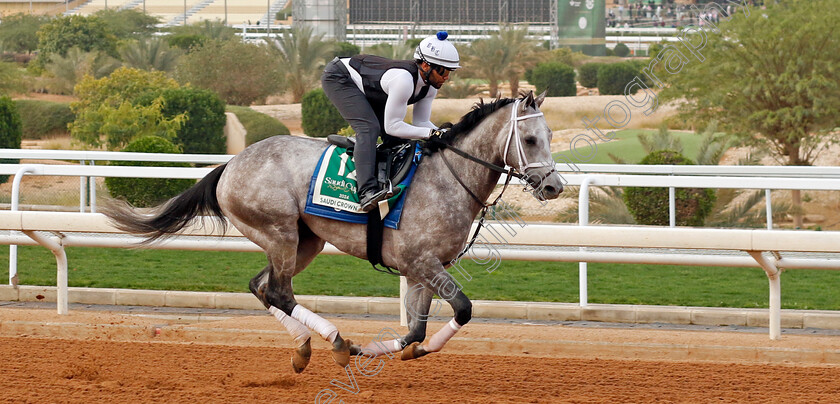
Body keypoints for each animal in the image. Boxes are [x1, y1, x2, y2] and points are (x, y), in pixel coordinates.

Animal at [103, 90, 564, 372]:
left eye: (549, 135)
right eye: (529, 138)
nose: (554, 186)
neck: (448, 178)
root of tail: (230, 164)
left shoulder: (423, 269)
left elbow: (415, 330)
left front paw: (400, 350)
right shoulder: (422, 261)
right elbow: (464, 309)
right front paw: (374, 349)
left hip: (306, 241)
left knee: (260, 286)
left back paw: (305, 348)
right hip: (281, 233)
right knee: (278, 292)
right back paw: (336, 343)